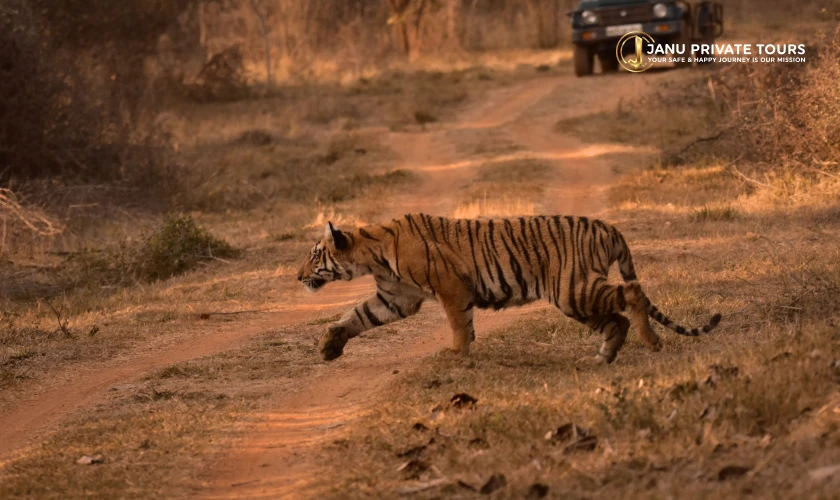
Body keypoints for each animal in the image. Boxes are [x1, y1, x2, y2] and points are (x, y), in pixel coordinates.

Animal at [296, 213, 721, 366]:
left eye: (314, 255)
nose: (297, 277)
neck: (371, 254)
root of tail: (608, 227)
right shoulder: (396, 297)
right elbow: (357, 316)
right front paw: (329, 345)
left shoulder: (450, 287)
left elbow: (458, 323)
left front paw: (457, 353)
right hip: (576, 298)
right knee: (617, 319)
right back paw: (603, 357)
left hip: (573, 289)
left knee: (632, 297)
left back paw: (651, 342)